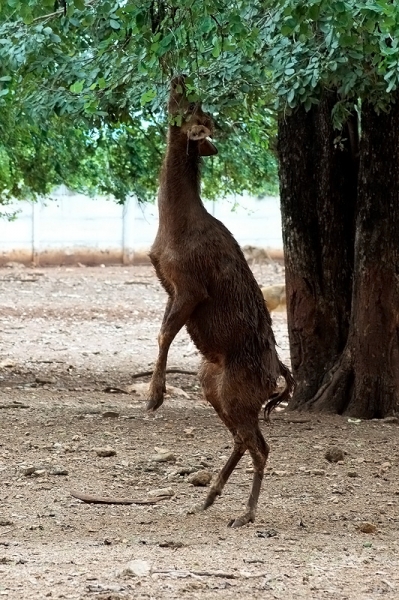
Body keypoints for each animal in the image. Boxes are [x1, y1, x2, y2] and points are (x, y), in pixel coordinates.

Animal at [148, 76, 296, 528]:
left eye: (193, 110)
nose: (179, 77)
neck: (171, 226)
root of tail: (277, 377)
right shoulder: (169, 286)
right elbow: (161, 330)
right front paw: (154, 393)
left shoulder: (191, 285)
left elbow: (163, 334)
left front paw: (154, 396)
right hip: (213, 384)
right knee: (244, 440)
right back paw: (208, 498)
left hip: (236, 391)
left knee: (260, 445)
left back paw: (245, 513)